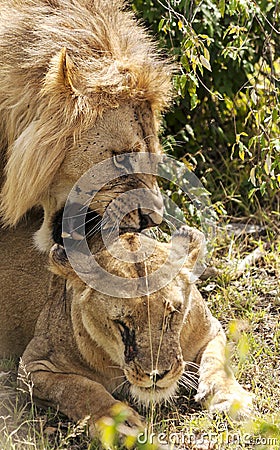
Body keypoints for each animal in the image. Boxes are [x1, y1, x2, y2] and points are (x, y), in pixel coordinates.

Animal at [16, 225, 253, 440]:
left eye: (172, 313)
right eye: (121, 323)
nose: (158, 375)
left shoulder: (210, 332)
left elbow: (217, 364)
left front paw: (231, 400)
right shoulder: (32, 366)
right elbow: (80, 388)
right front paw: (119, 425)